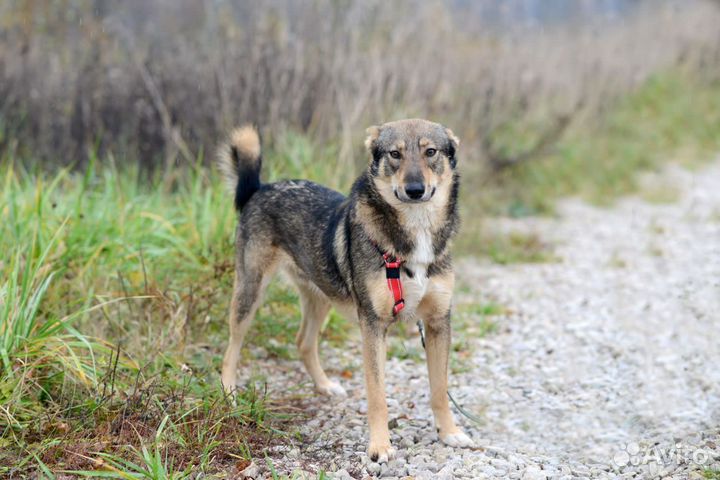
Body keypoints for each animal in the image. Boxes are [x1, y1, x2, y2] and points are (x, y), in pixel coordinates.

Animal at [217, 119, 472, 462]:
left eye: (430, 151)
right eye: (395, 154)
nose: (415, 190)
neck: (415, 231)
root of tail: (260, 188)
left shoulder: (437, 322)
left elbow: (439, 390)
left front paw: (449, 433)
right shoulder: (373, 325)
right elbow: (377, 395)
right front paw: (380, 446)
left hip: (322, 295)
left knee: (303, 342)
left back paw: (325, 386)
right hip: (250, 292)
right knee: (232, 349)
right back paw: (229, 394)